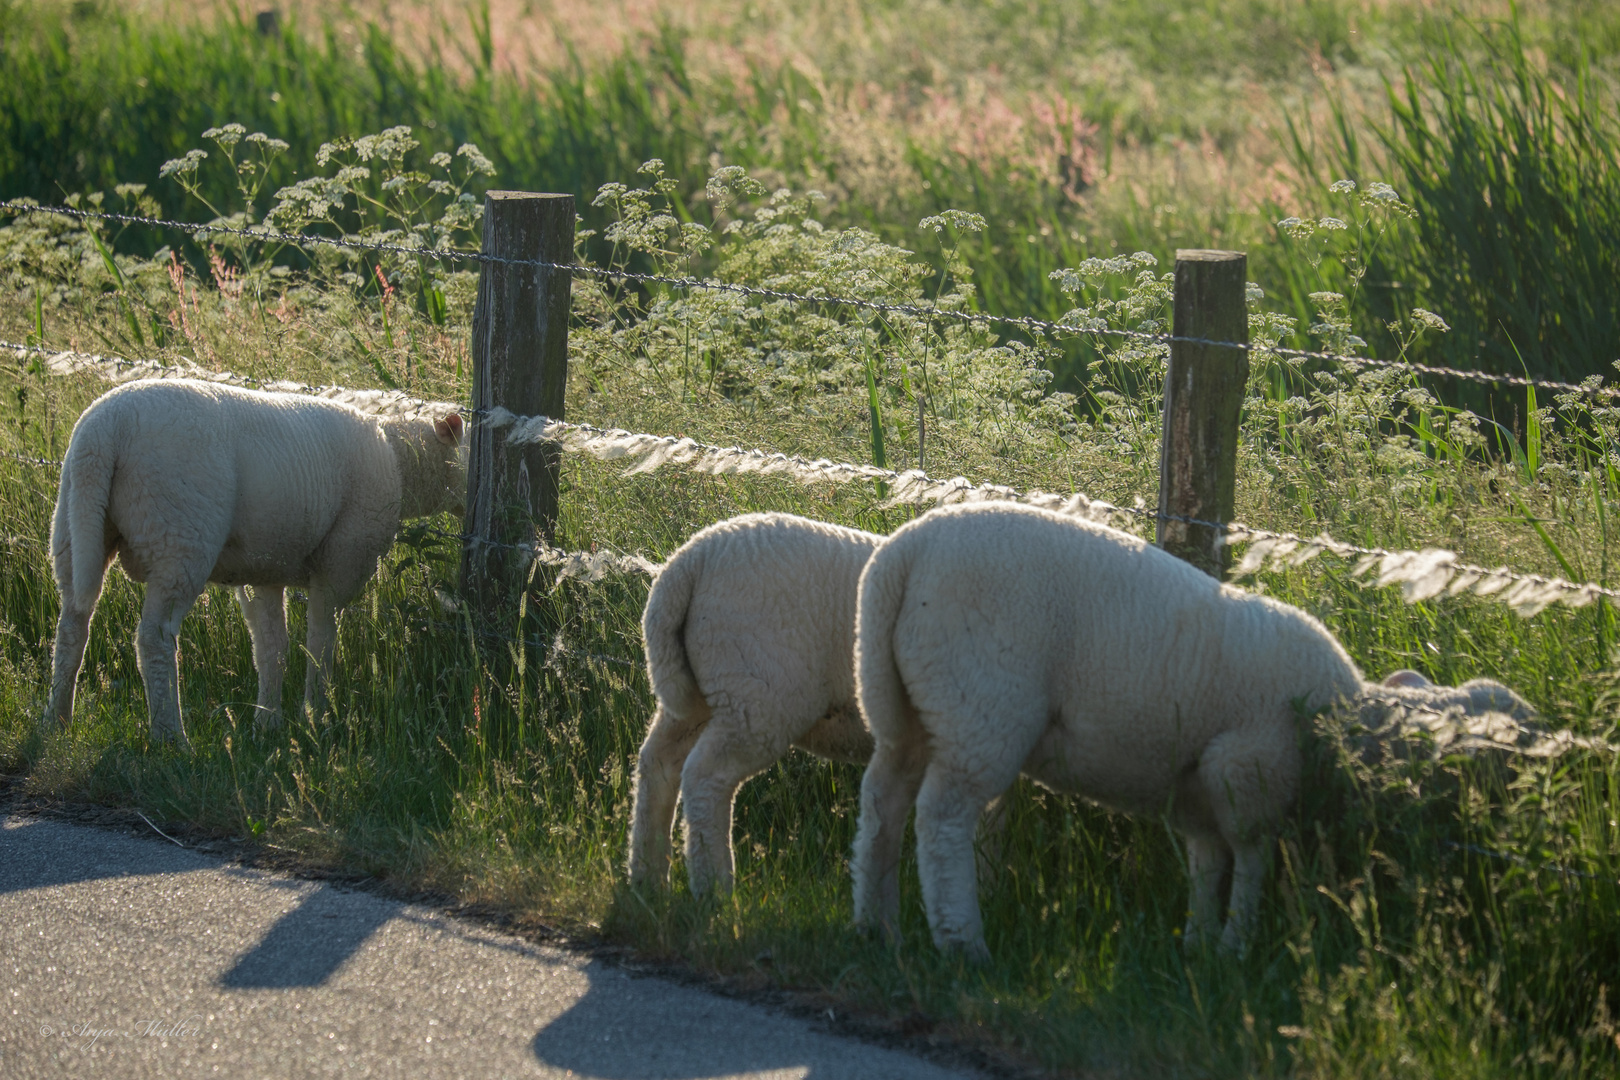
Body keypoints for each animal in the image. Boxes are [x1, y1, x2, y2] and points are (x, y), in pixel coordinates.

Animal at [39, 378, 469, 744]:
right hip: (179, 538)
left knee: (72, 625)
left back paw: (57, 721)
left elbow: (270, 648)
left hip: (75, 527)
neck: (401, 462)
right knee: (154, 639)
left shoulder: (265, 569)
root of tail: (107, 429)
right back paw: (170, 737)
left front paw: (268, 722)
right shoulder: (340, 562)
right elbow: (320, 643)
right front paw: (316, 715)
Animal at [628, 514, 887, 893]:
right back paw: (714, 887)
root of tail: (690, 561)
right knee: (706, 776)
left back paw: (647, 879)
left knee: (658, 763)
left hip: (698, 694)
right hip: (758, 698)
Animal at [848, 501, 1529, 958]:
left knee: (882, 802)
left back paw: (877, 925)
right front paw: (1237, 944)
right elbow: (1251, 859)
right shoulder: (1251, 770)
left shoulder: (1198, 792)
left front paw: (1200, 943)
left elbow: (1208, 863)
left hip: (901, 704)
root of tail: (903, 555)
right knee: (941, 821)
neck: (1348, 725)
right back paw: (962, 942)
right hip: (979, 707)